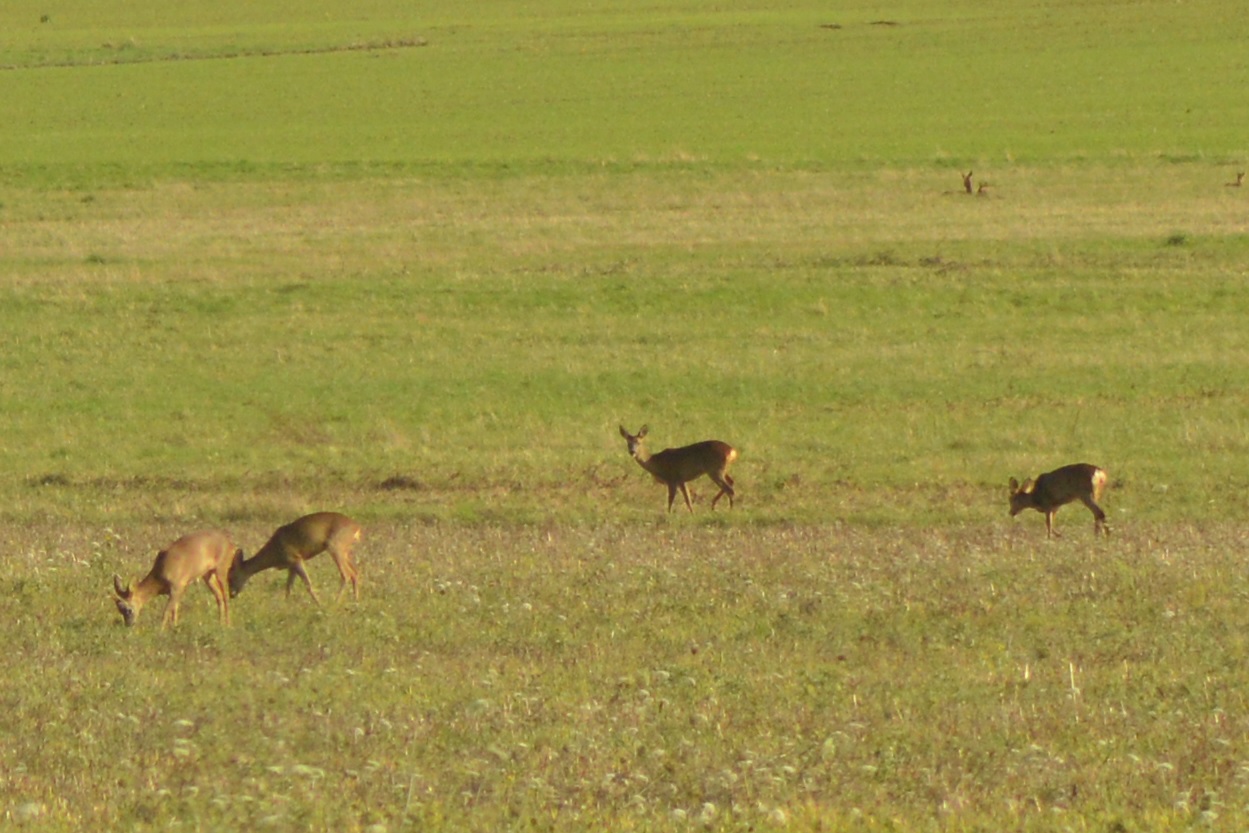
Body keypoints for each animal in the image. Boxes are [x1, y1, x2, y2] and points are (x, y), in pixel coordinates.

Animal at [113, 532, 241, 629]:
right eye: (119, 610)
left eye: (129, 609)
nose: (129, 625)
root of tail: (232, 545)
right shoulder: (178, 589)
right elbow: (175, 610)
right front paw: (175, 628)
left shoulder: (176, 587)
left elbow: (166, 611)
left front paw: (161, 631)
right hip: (208, 575)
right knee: (219, 596)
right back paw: (221, 624)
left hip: (221, 570)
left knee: (226, 596)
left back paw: (228, 625)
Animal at [229, 512, 362, 601]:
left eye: (230, 575)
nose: (231, 594)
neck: (274, 552)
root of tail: (357, 527)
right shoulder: (291, 566)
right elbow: (288, 587)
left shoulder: (296, 558)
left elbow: (308, 584)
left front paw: (319, 604)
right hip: (345, 550)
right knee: (355, 572)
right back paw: (355, 601)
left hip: (335, 546)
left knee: (346, 574)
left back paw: (335, 601)